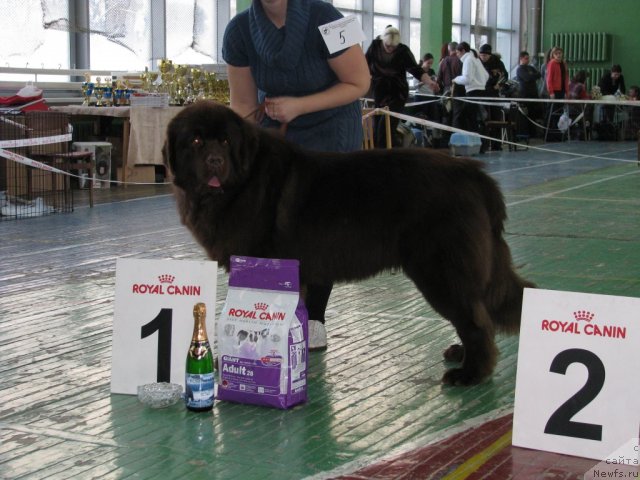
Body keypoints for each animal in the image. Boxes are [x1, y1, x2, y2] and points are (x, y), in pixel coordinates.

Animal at [162, 101, 532, 386]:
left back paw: (470, 373)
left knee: (475, 319)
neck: (242, 182)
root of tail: (474, 173)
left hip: (440, 271)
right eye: (196, 140)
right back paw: (461, 355)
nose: (215, 161)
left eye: (225, 142)